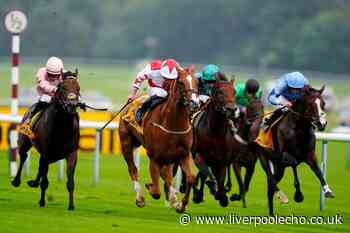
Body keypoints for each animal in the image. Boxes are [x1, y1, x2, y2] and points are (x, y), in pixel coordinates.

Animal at [11, 70, 81, 210]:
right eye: (62, 87)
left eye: (78, 88)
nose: (72, 104)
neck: (62, 126)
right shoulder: (47, 152)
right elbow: (44, 180)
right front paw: (42, 201)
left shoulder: (71, 153)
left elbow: (70, 181)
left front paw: (71, 205)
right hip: (25, 142)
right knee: (23, 157)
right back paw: (16, 181)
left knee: (40, 165)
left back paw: (33, 182)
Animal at [118, 64, 198, 213]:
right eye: (181, 82)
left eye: (196, 81)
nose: (194, 103)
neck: (173, 125)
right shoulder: (154, 157)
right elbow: (155, 191)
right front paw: (150, 187)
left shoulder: (184, 154)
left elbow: (190, 178)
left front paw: (181, 204)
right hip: (126, 142)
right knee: (133, 169)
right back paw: (140, 198)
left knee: (167, 175)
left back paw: (173, 198)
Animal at [190, 73, 237, 208]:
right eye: (220, 92)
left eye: (234, 92)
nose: (231, 109)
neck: (214, 132)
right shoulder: (198, 154)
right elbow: (205, 173)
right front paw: (199, 194)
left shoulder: (222, 160)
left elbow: (220, 177)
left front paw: (222, 195)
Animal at [258, 85, 334, 215]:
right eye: (310, 104)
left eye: (323, 103)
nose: (322, 123)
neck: (299, 129)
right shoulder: (283, 155)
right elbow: (293, 163)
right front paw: (298, 194)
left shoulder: (310, 155)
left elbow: (318, 171)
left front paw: (327, 191)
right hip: (266, 159)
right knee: (271, 180)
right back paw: (281, 197)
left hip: (278, 167)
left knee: (271, 185)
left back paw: (272, 212)